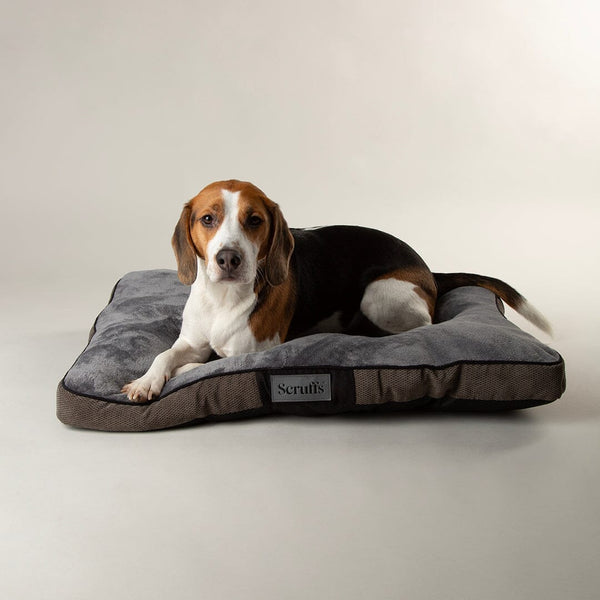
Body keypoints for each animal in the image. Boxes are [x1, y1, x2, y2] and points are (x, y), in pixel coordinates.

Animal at [122, 179, 551, 402]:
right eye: (207, 219)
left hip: (379, 295)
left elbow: (204, 364)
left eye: (254, 220)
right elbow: (164, 354)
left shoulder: (251, 354)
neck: (223, 298)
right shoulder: (189, 341)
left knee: (424, 325)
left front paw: (180, 374)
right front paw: (146, 381)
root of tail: (429, 271)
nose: (229, 258)